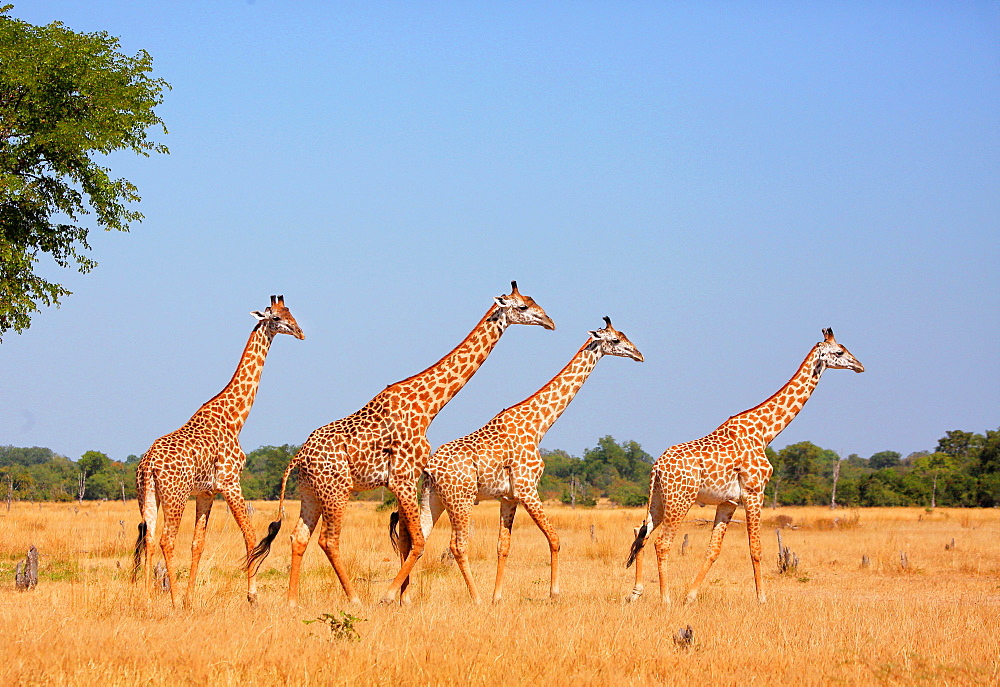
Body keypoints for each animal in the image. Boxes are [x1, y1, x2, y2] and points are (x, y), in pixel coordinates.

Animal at [133, 296, 304, 608]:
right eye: (275, 318)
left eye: (291, 313)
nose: (300, 332)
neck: (235, 418)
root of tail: (148, 464)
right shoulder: (230, 482)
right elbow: (250, 535)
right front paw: (252, 596)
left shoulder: (206, 492)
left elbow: (198, 544)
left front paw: (191, 598)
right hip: (175, 496)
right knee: (166, 539)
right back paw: (172, 600)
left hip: (148, 495)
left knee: (149, 538)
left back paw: (149, 598)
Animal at [244, 282, 556, 604]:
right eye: (522, 306)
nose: (550, 322)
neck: (429, 406)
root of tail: (298, 457)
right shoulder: (403, 477)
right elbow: (416, 540)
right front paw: (390, 596)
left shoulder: (404, 480)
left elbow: (407, 538)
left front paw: (404, 599)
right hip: (336, 491)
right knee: (328, 540)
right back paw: (355, 599)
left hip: (310, 492)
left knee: (299, 537)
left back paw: (292, 602)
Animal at [394, 316, 644, 600]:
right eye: (615, 340)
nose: (639, 355)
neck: (539, 425)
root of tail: (431, 468)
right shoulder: (528, 489)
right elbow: (554, 538)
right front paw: (554, 593)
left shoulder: (509, 497)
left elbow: (503, 547)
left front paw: (497, 597)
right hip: (461, 499)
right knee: (457, 545)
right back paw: (473, 597)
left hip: (432, 497)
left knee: (417, 539)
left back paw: (401, 596)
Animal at [620, 330, 864, 604]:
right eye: (840, 352)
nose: (860, 366)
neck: (765, 432)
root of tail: (657, 467)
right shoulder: (755, 492)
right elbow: (755, 548)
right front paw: (762, 599)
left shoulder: (728, 502)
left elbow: (713, 550)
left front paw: (691, 596)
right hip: (680, 500)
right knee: (661, 542)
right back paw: (665, 599)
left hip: (659, 500)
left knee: (641, 532)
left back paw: (635, 592)